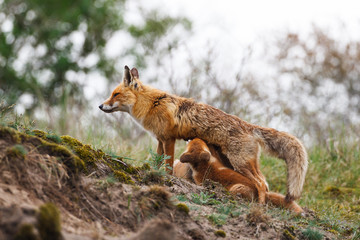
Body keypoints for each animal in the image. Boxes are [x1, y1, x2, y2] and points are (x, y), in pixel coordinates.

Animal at [100, 65, 308, 201]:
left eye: (115, 94)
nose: (100, 106)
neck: (152, 104)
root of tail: (247, 125)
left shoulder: (169, 139)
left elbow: (167, 166)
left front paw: (167, 180)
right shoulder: (160, 140)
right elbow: (157, 161)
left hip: (240, 163)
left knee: (262, 185)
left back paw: (259, 208)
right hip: (230, 161)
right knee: (263, 182)